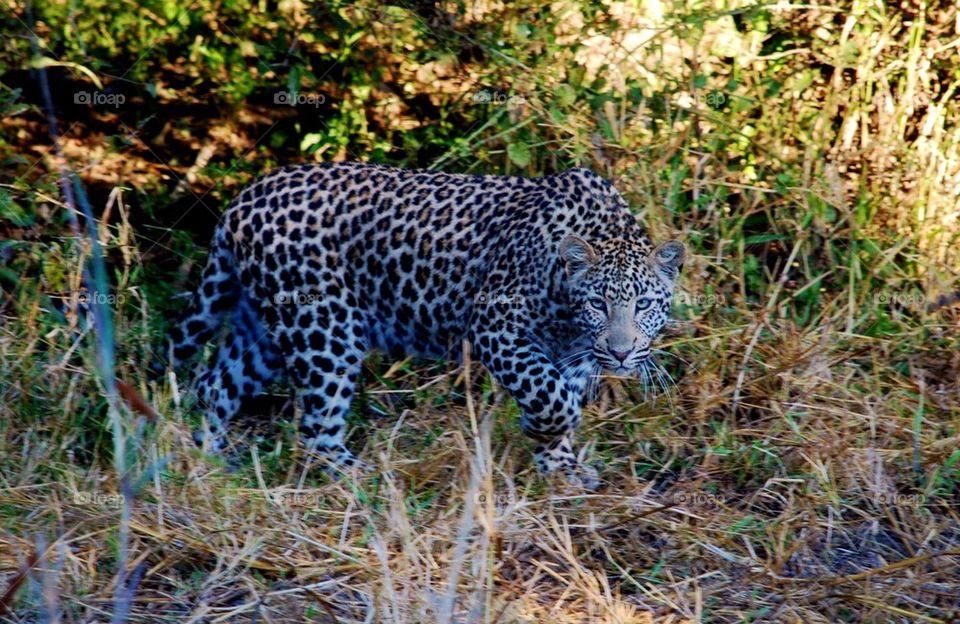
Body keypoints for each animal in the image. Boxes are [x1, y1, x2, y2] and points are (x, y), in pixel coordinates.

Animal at [169, 162, 688, 488]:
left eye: (643, 304)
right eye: (599, 303)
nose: (621, 352)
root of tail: (244, 198)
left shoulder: (573, 352)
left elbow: (561, 394)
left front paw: (559, 465)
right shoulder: (496, 325)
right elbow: (550, 394)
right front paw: (545, 431)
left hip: (267, 329)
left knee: (215, 384)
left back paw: (211, 463)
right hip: (325, 328)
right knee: (315, 426)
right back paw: (358, 479)